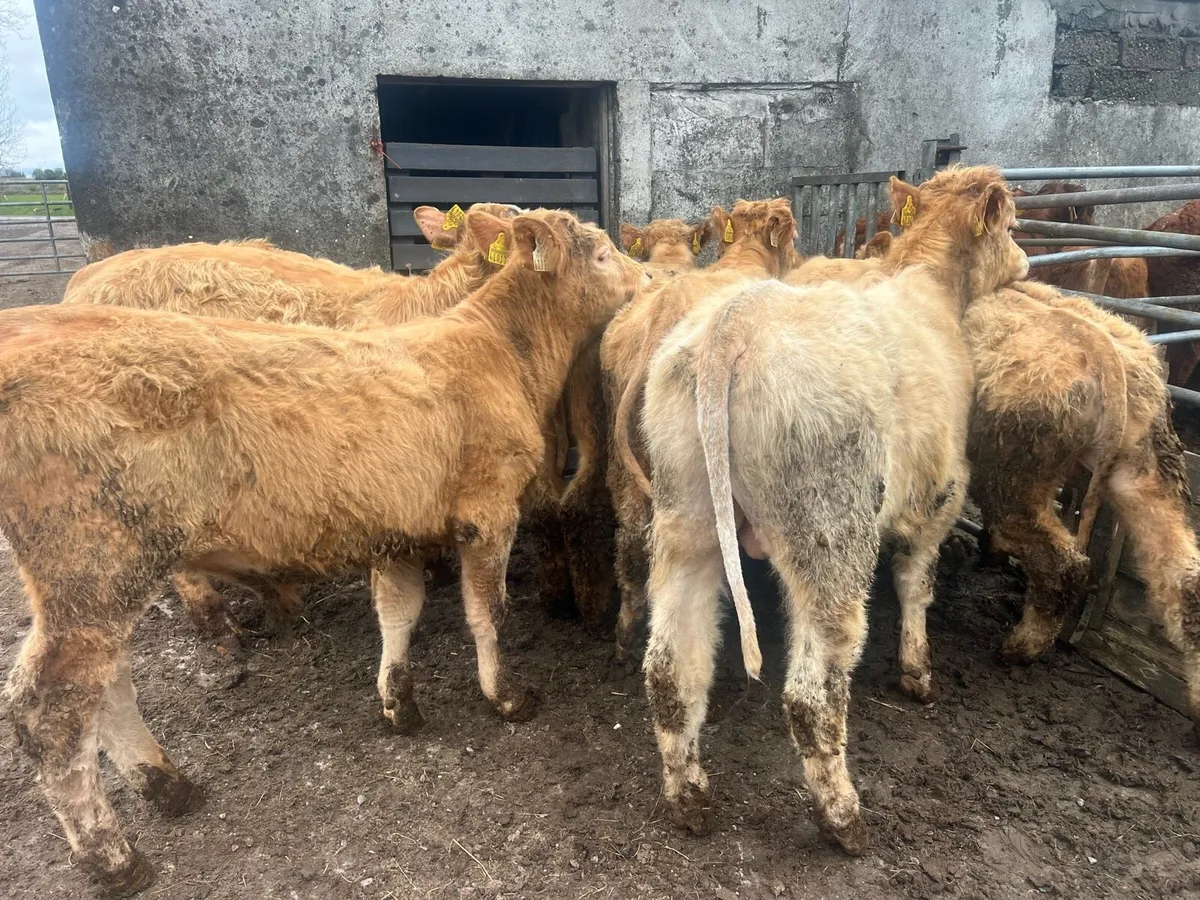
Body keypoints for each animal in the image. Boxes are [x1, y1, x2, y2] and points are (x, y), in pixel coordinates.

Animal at [0, 209, 645, 893]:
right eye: (602, 253)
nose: (649, 276)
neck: (494, 347)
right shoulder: (487, 511)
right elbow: (487, 613)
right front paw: (506, 697)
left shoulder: (398, 527)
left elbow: (399, 611)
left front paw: (399, 703)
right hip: (90, 563)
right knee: (51, 711)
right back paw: (113, 856)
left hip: (103, 579)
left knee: (109, 685)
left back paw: (168, 786)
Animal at [637, 167, 1027, 851]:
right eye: (1009, 226)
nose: (1027, 262)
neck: (928, 285)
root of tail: (735, 324)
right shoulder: (939, 498)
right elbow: (917, 584)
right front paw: (917, 672)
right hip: (830, 536)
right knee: (812, 695)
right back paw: (844, 818)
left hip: (686, 515)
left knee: (670, 666)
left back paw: (690, 800)